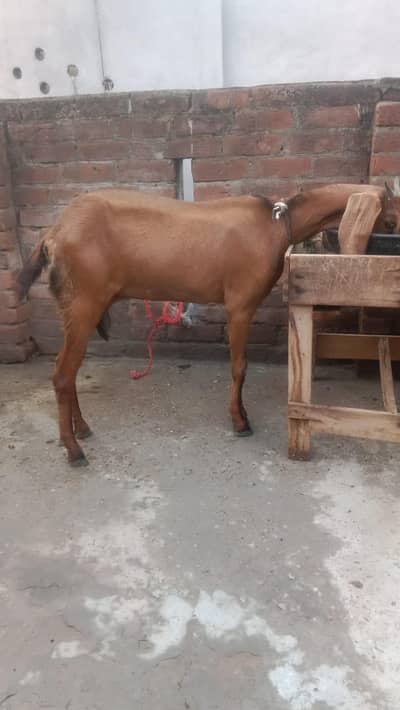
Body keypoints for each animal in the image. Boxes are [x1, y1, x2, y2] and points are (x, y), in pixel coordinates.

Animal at [17, 182, 400, 466]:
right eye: (391, 219)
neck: (276, 223)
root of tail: (54, 233)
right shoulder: (240, 304)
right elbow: (239, 366)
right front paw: (240, 421)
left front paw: (240, 414)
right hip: (84, 303)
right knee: (62, 374)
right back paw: (74, 449)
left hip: (74, 306)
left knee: (68, 371)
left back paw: (82, 429)